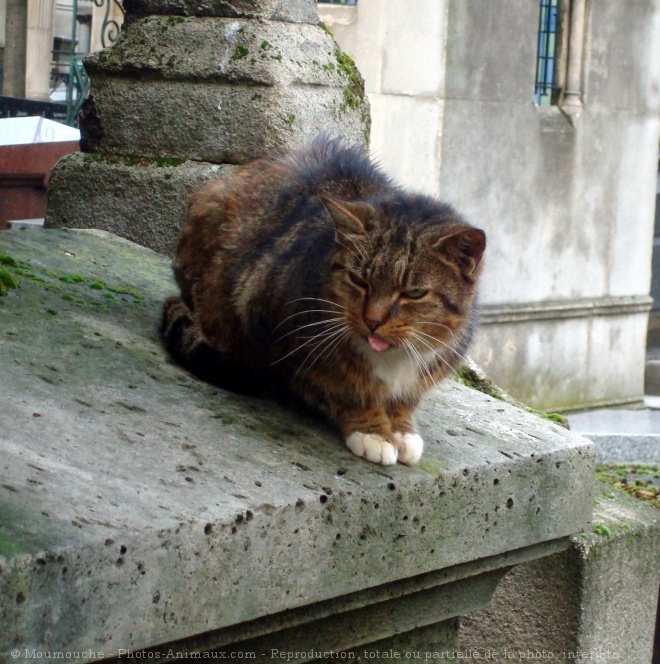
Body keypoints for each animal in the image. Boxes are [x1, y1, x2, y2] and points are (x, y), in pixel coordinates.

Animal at [160, 137, 484, 464]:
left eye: (413, 293)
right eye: (358, 280)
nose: (373, 320)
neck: (393, 359)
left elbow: (404, 400)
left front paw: (402, 429)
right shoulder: (277, 332)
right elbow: (342, 388)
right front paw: (374, 433)